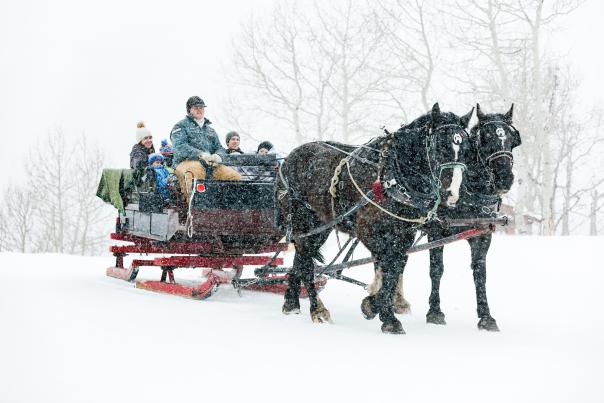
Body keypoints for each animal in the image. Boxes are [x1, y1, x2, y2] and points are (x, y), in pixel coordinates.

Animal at [278, 104, 476, 334]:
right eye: (440, 146)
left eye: (466, 149)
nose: (451, 194)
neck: (390, 177)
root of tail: (288, 159)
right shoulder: (370, 233)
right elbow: (387, 268)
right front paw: (381, 310)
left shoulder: (403, 236)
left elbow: (395, 268)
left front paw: (380, 308)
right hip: (303, 222)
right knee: (306, 263)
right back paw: (317, 309)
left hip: (320, 227)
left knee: (301, 259)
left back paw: (291, 302)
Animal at [370, 104, 520, 332]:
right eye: (485, 138)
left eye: (512, 139)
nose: (505, 178)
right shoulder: (437, 231)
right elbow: (436, 270)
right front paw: (435, 312)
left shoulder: (482, 235)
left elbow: (480, 273)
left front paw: (486, 316)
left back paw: (396, 301)